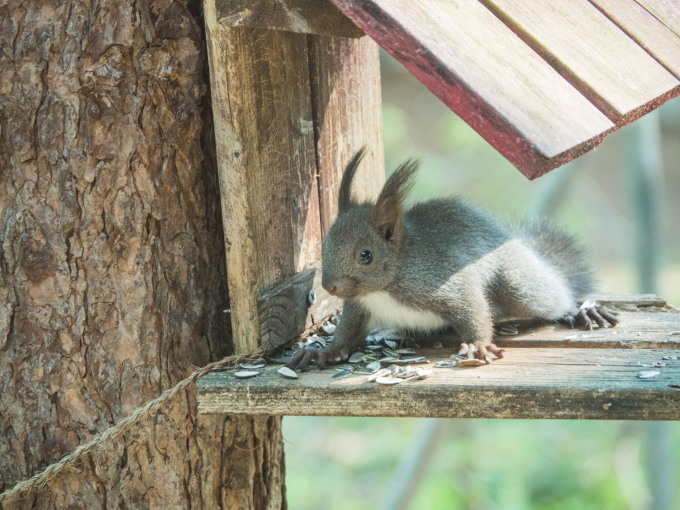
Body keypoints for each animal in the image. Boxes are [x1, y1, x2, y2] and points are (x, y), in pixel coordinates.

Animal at [290, 148, 620, 370]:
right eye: (326, 244)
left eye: (365, 255)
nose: (330, 286)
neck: (386, 285)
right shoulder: (359, 307)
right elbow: (347, 335)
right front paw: (323, 352)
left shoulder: (443, 282)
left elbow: (471, 308)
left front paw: (479, 346)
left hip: (519, 285)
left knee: (550, 297)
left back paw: (582, 311)